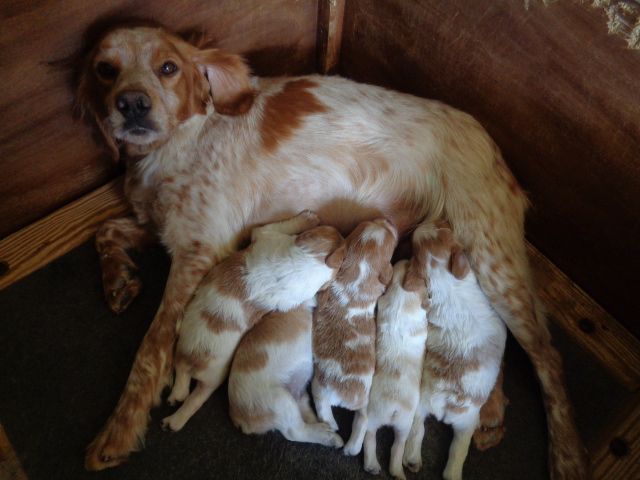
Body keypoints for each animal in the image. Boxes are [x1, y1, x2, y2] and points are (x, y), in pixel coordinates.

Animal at [161, 210, 344, 432]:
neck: (302, 267)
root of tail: (196, 359)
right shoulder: (264, 234)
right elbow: (281, 226)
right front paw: (308, 218)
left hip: (206, 369)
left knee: (188, 387)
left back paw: (175, 410)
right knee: (186, 383)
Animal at [312, 219, 398, 440]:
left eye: (375, 220)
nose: (389, 219)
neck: (360, 267)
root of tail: (339, 395)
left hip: (319, 387)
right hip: (360, 400)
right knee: (362, 420)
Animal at [402, 224, 508, 480]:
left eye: (442, 231)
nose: (423, 226)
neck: (445, 280)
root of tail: (450, 396)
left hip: (433, 406)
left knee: (423, 433)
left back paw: (412, 460)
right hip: (466, 420)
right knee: (453, 449)